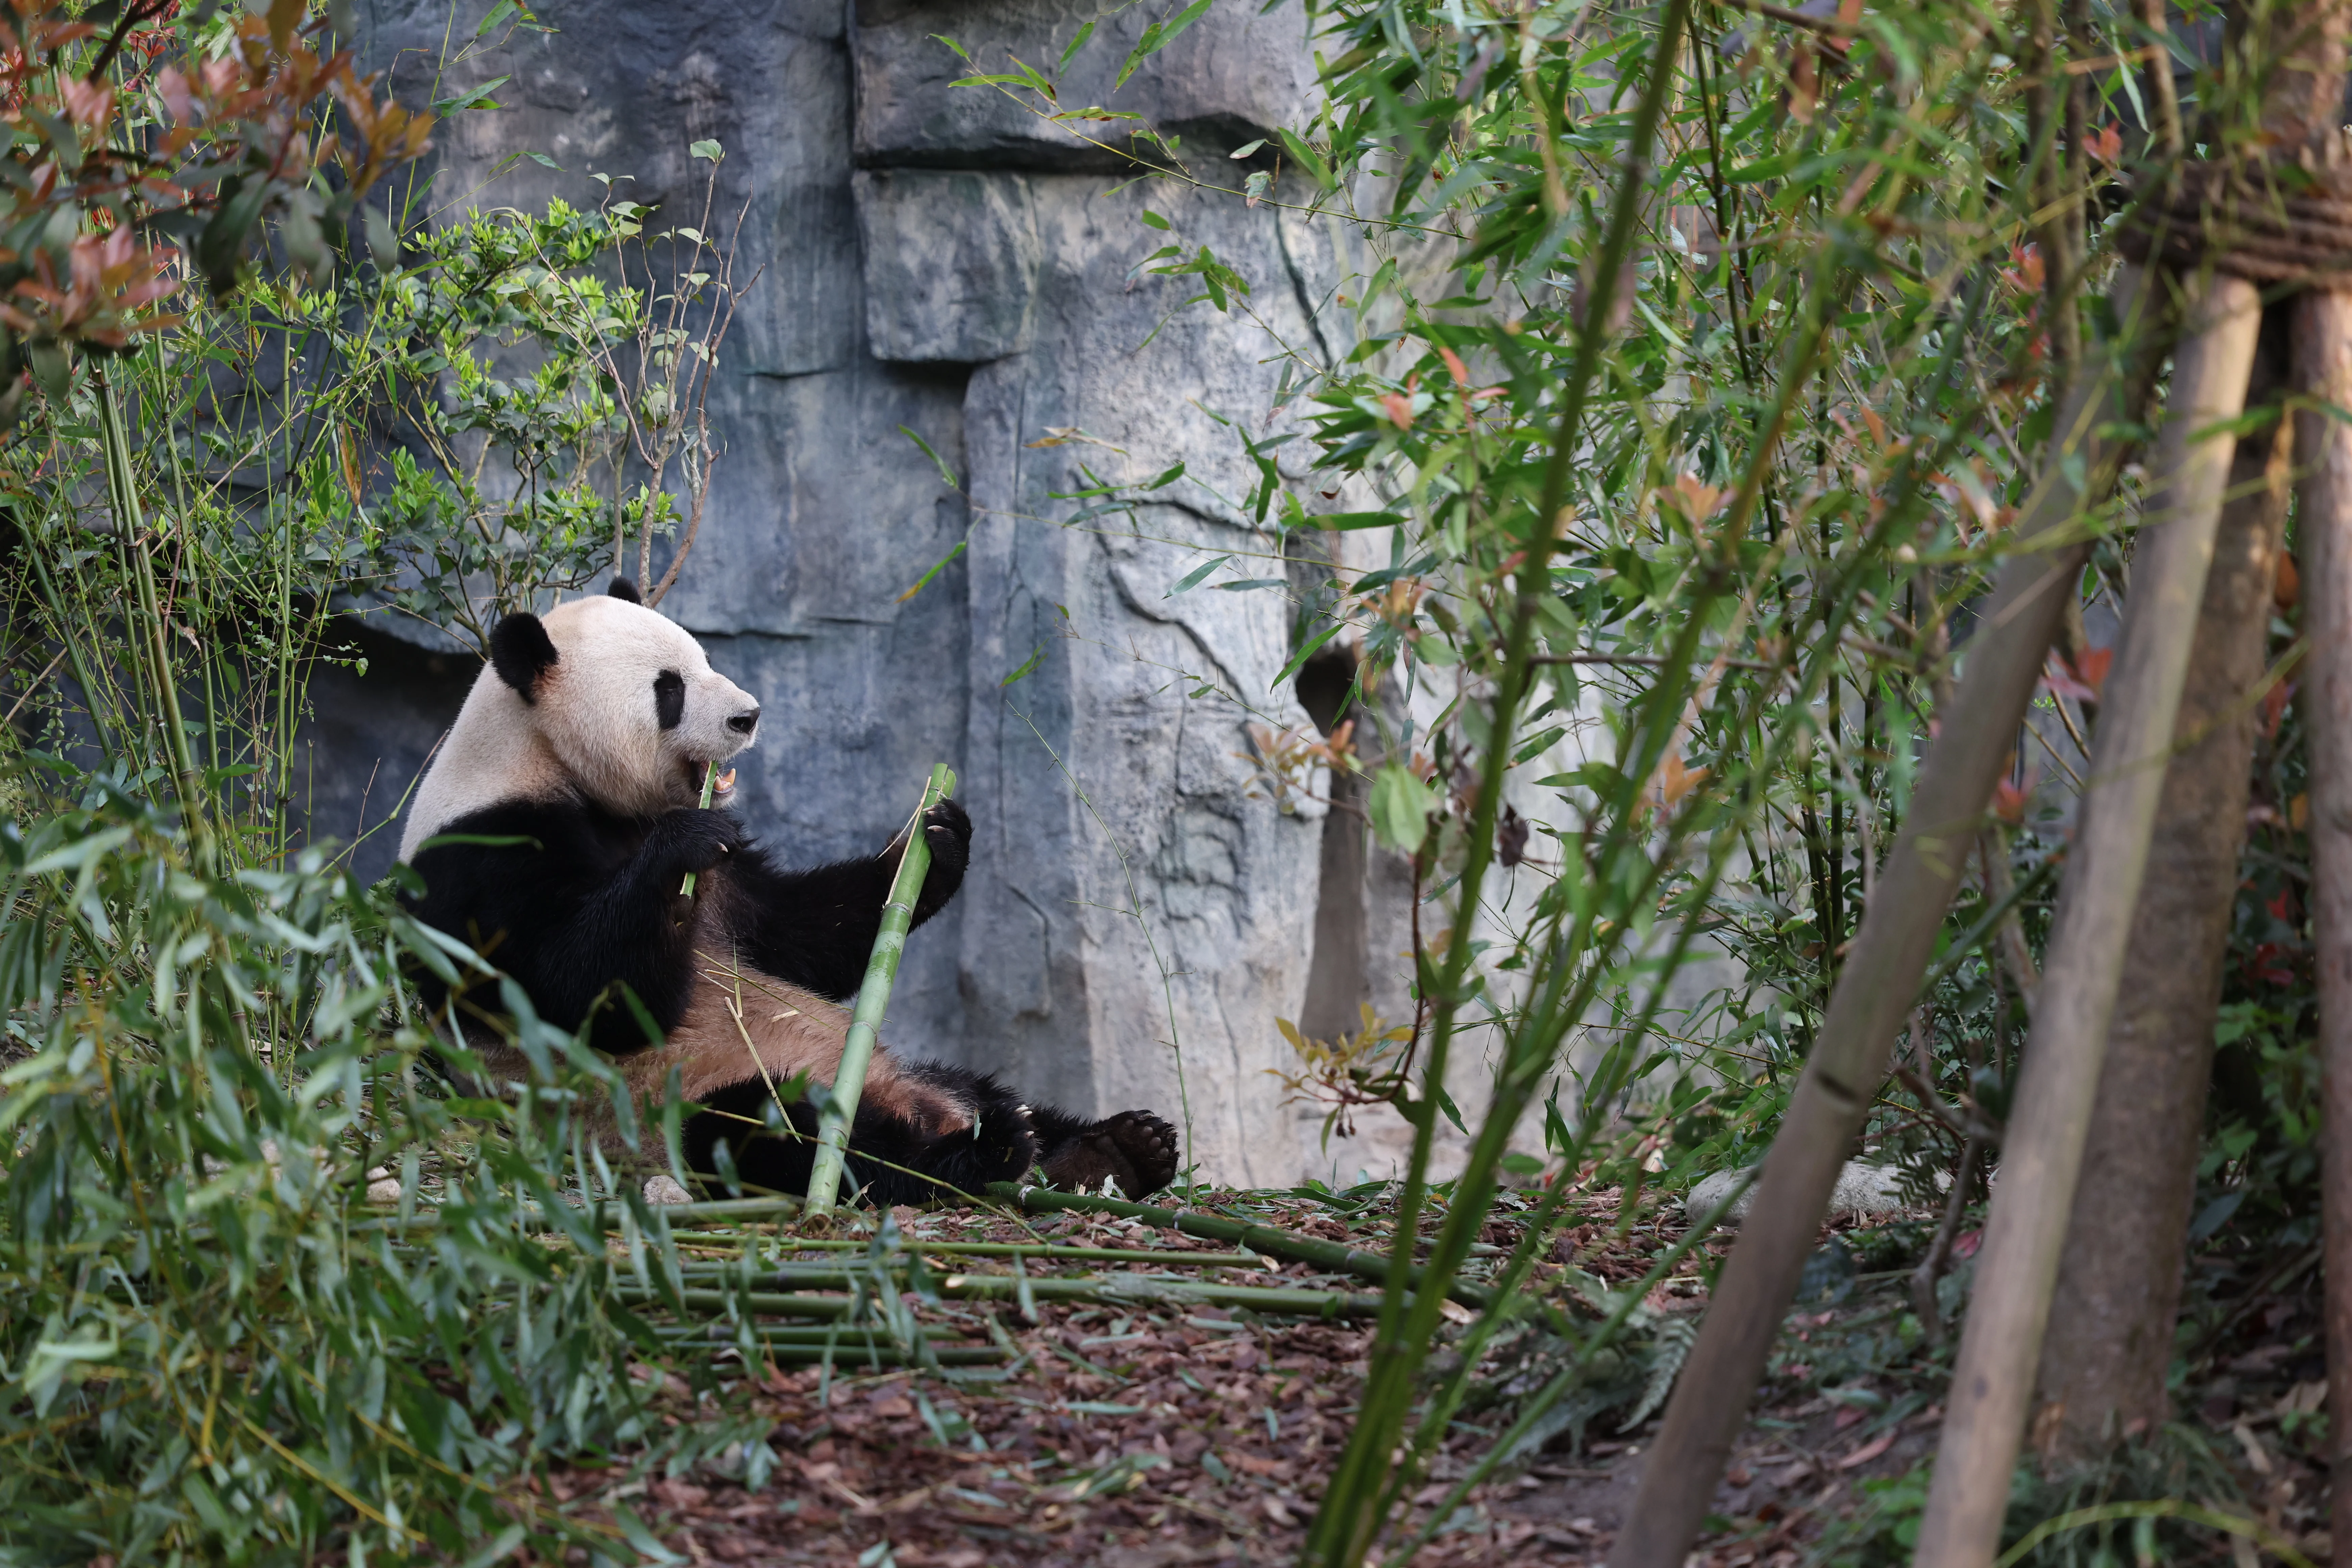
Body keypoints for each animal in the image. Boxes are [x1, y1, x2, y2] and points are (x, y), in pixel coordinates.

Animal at [395, 580, 1181, 1204]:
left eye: (707, 661)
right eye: (670, 688)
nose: (747, 716)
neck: (545, 761)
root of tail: (915, 1106)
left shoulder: (732, 883)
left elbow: (797, 937)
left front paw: (936, 841)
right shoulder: (487, 857)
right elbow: (580, 999)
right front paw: (677, 855)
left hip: (914, 1070)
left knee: (997, 1093)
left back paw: (1113, 1147)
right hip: (686, 1099)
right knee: (771, 1138)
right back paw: (975, 1155)